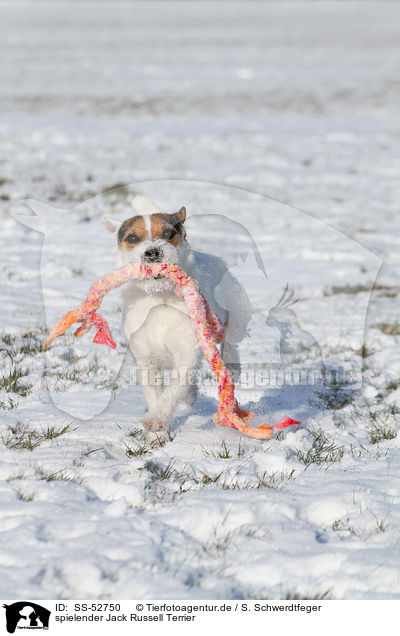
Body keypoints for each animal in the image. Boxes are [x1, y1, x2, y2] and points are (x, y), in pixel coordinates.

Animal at [103, 194, 250, 432]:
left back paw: (231, 364)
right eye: (132, 237)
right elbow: (156, 394)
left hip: (236, 312)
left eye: (167, 234)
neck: (160, 297)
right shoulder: (147, 361)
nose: (153, 252)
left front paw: (157, 418)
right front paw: (156, 434)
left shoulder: (186, 355)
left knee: (230, 340)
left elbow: (172, 391)